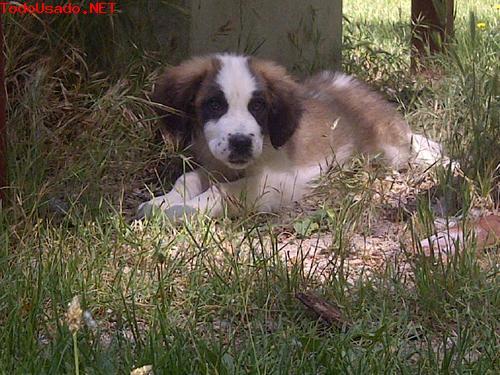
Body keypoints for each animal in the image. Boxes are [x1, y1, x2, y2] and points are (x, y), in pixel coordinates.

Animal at [137, 51, 442, 219]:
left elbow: (222, 192)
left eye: (258, 106)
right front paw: (163, 201)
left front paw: (181, 211)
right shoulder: (218, 165)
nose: (240, 142)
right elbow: (188, 178)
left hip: (389, 149)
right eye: (214, 105)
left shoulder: (279, 182)